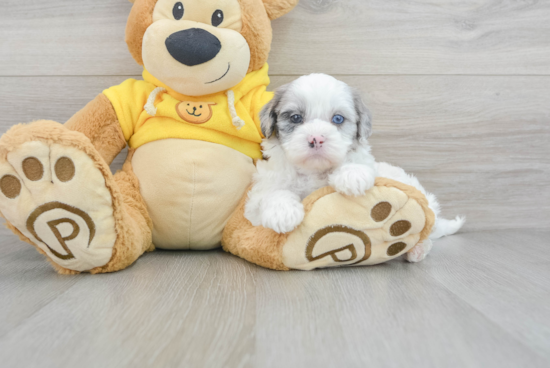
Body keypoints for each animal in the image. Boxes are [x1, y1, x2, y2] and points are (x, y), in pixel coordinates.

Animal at [246, 72, 466, 262]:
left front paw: (351, 175)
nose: (316, 138)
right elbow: (272, 194)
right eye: (295, 118)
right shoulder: (259, 196)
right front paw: (282, 211)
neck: (314, 172)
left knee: (426, 232)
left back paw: (418, 249)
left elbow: (356, 164)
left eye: (338, 119)